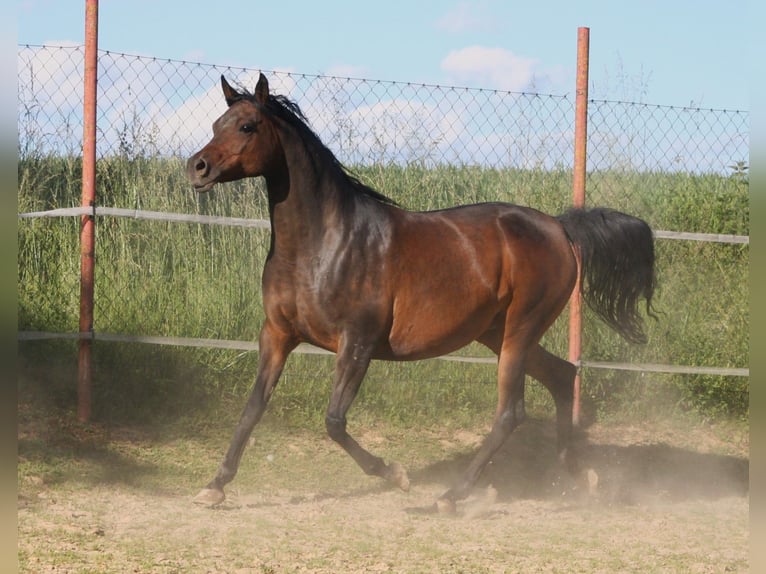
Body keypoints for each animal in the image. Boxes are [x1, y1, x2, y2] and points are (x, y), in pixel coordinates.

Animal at [186, 73, 656, 510]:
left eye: (247, 126)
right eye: (215, 123)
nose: (197, 167)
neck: (325, 242)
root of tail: (560, 227)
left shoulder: (357, 342)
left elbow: (334, 421)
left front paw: (396, 475)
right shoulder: (277, 334)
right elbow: (252, 409)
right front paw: (214, 487)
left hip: (521, 329)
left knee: (511, 412)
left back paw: (453, 495)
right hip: (498, 332)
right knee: (561, 376)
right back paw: (578, 476)